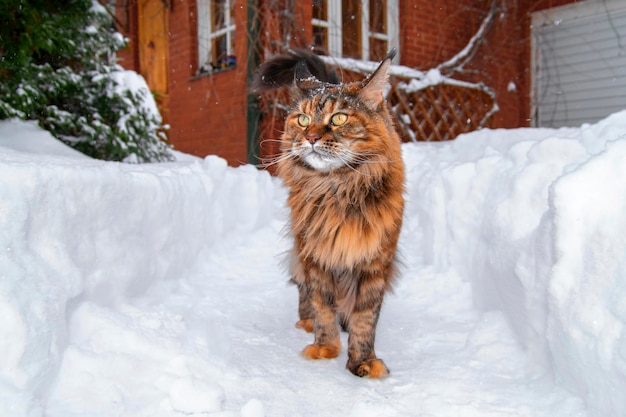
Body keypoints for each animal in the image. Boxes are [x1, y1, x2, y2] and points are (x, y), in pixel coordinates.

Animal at [254, 48, 404, 376]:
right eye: (303, 119)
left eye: (338, 118)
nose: (310, 137)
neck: (337, 189)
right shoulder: (316, 256)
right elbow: (322, 306)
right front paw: (325, 347)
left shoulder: (374, 261)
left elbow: (365, 319)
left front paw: (363, 361)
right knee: (303, 292)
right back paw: (306, 321)